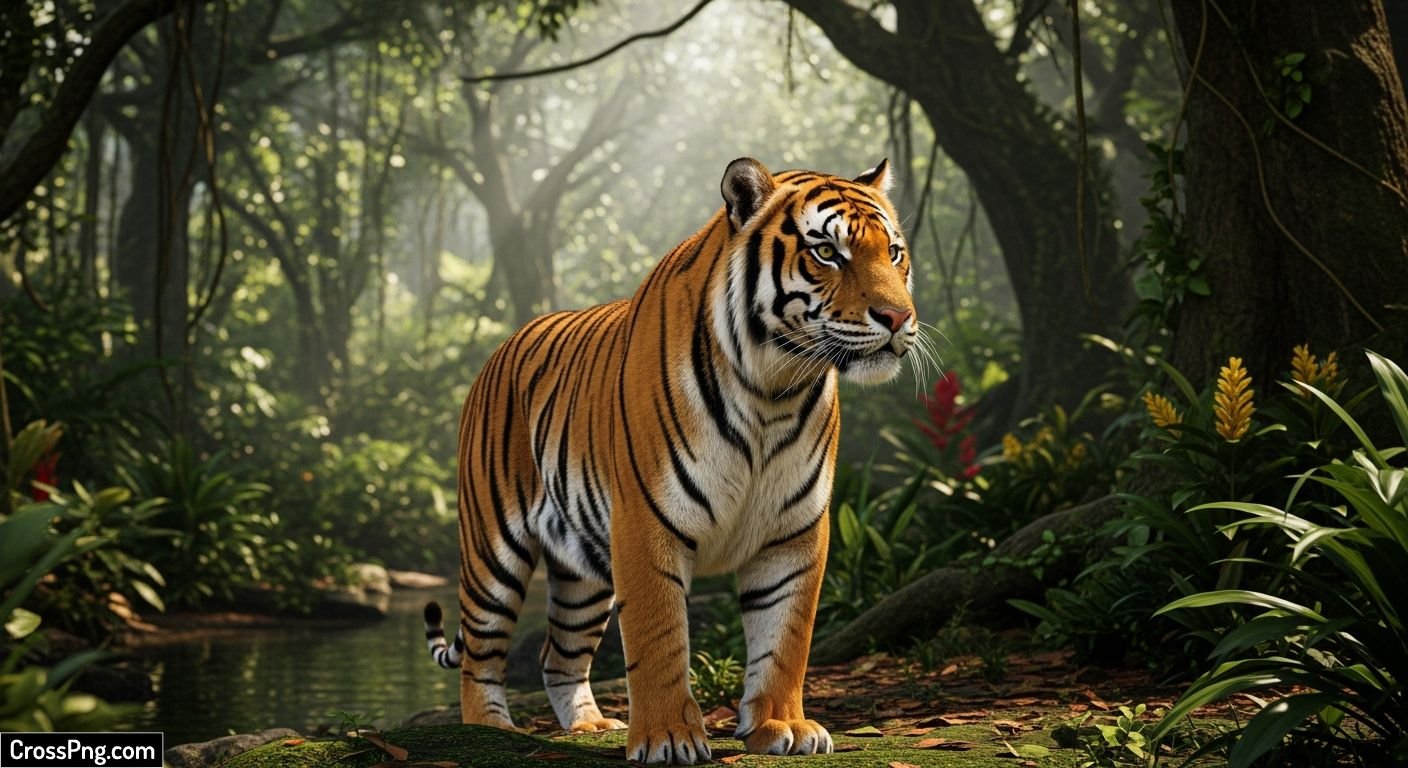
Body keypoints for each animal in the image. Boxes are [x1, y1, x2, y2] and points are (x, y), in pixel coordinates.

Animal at [422, 157, 918, 764]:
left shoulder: (795, 532)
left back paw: (589, 726)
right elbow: (659, 638)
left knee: (557, 655)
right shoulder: (645, 522)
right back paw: (489, 731)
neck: (774, 389)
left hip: (582, 572)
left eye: (893, 252)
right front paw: (669, 738)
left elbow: (785, 636)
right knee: (480, 656)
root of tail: (503, 346)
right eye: (827, 251)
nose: (898, 317)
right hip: (493, 549)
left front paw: (781, 726)